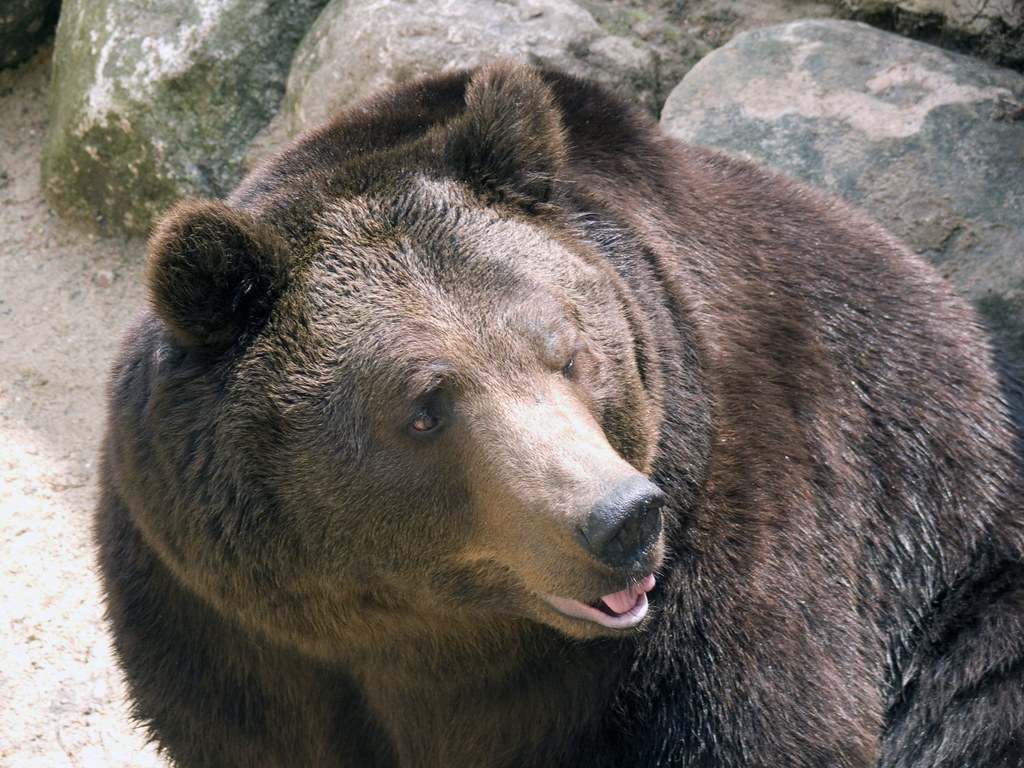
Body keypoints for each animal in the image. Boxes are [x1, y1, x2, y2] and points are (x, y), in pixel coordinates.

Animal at [96, 62, 1024, 767]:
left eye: (568, 351)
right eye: (425, 408)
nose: (621, 518)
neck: (440, 637)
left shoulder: (741, 556)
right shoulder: (233, 638)